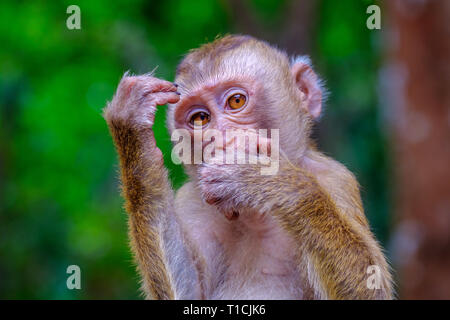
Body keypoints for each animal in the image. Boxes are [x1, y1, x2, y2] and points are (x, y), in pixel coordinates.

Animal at [103, 35, 392, 300]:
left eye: (236, 101)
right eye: (200, 118)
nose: (221, 139)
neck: (256, 216)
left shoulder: (335, 179)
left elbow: (371, 289)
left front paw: (265, 178)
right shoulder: (192, 201)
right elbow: (191, 294)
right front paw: (132, 128)